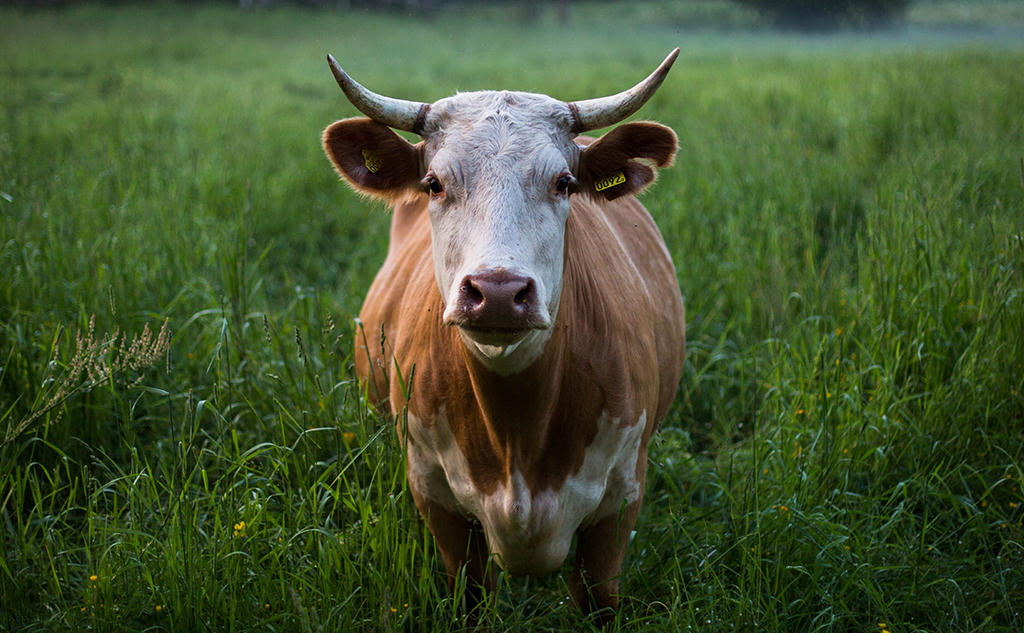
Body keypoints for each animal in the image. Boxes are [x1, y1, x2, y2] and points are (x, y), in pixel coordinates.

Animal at [322, 50, 686, 624]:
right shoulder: (435, 497)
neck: (517, 432)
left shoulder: (620, 502)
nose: (496, 291)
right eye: (434, 183)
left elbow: (599, 601)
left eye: (564, 183)